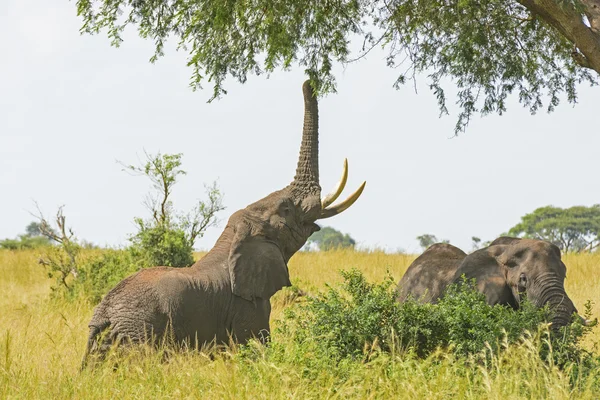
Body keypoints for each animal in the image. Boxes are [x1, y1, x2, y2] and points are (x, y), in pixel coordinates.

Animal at [82, 80, 366, 366]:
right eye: (286, 209)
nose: (308, 82)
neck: (234, 238)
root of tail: (102, 315)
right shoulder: (247, 305)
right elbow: (258, 347)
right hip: (140, 330)